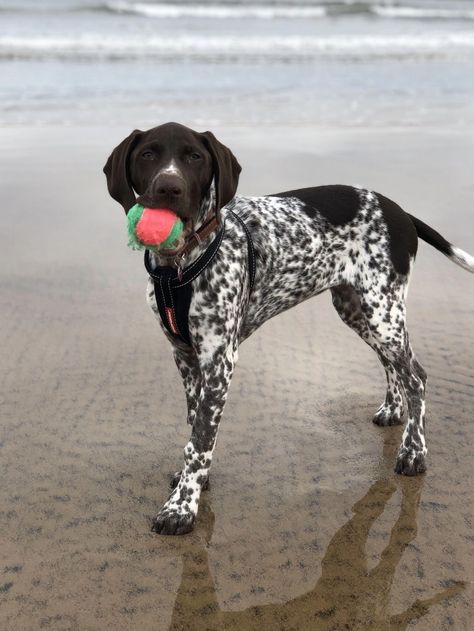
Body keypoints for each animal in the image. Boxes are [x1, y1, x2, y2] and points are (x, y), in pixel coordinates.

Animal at [104, 122, 474, 532]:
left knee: (416, 377)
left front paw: (182, 508)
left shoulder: (219, 361)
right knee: (394, 366)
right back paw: (394, 409)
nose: (169, 189)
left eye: (195, 157)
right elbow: (195, 424)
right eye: (147, 154)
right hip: (359, 311)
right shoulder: (185, 355)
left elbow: (200, 440)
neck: (179, 267)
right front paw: (193, 482)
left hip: (382, 310)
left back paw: (414, 452)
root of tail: (400, 210)